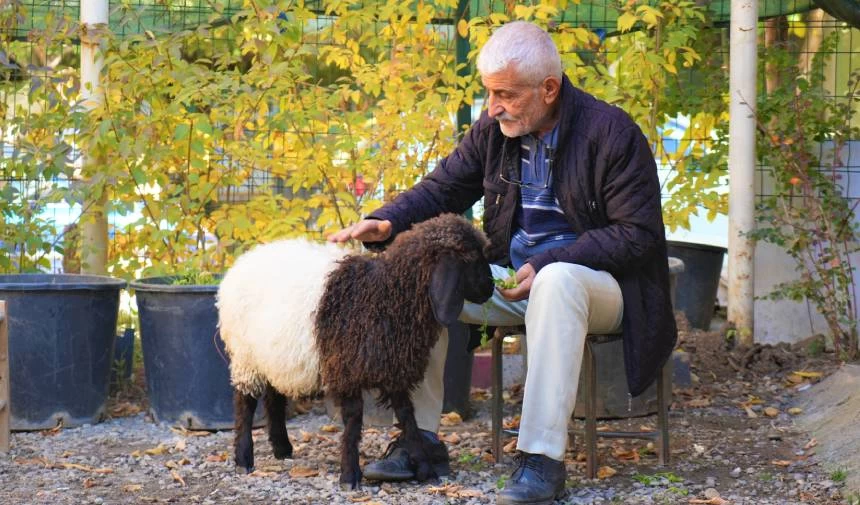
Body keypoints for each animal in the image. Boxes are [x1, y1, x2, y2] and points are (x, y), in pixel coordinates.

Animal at [218, 213, 494, 488]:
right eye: (472, 258)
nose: (491, 288)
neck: (386, 295)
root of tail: (245, 260)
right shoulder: (346, 370)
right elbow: (353, 423)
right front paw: (350, 476)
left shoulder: (394, 370)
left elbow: (409, 420)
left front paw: (426, 470)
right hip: (246, 356)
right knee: (245, 404)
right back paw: (244, 458)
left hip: (275, 354)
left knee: (274, 398)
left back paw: (282, 448)